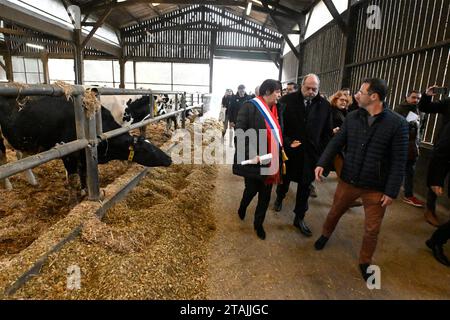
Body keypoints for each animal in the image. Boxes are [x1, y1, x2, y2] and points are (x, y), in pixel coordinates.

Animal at [0, 95, 172, 195]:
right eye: (149, 149)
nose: (169, 159)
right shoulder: (69, 155)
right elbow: (73, 179)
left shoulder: (84, 156)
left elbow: (83, 174)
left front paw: (85, 191)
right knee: (4, 160)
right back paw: (8, 186)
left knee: (20, 157)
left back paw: (32, 180)